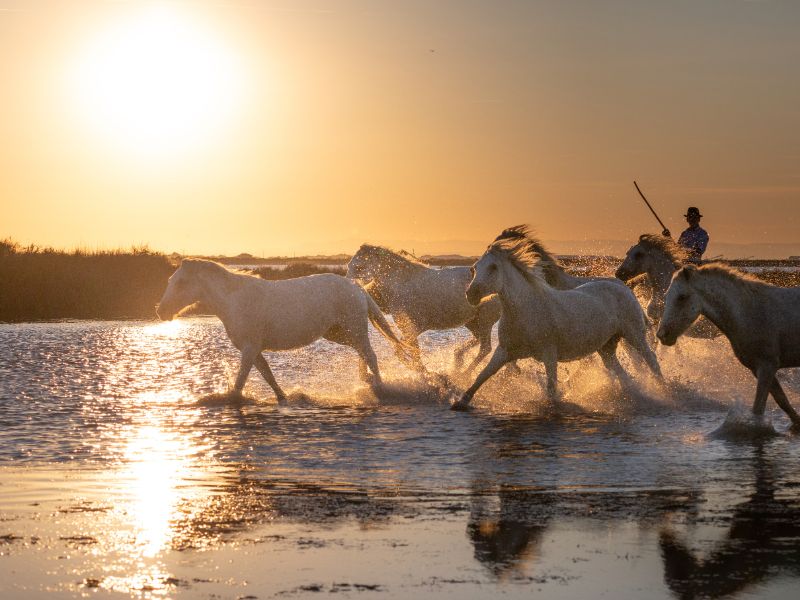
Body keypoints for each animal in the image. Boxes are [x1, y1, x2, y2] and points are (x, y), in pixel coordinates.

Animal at [156, 258, 410, 404]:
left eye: (180, 283)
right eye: (169, 280)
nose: (161, 311)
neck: (233, 301)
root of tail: (357, 287)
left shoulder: (249, 349)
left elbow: (240, 383)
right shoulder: (255, 350)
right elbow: (268, 375)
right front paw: (283, 397)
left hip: (354, 329)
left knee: (371, 356)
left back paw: (380, 388)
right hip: (339, 333)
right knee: (362, 354)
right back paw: (366, 381)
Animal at [450, 227, 664, 410]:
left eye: (493, 267)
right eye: (474, 268)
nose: (471, 294)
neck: (524, 310)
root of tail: (624, 287)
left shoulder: (549, 354)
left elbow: (551, 389)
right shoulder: (504, 351)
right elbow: (482, 375)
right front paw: (460, 402)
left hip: (634, 335)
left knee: (651, 360)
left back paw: (664, 389)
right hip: (606, 347)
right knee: (621, 373)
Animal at [656, 264, 800, 428]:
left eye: (682, 297)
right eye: (667, 296)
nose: (662, 335)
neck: (748, 311)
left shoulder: (767, 365)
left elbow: (758, 409)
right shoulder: (757, 368)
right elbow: (782, 401)